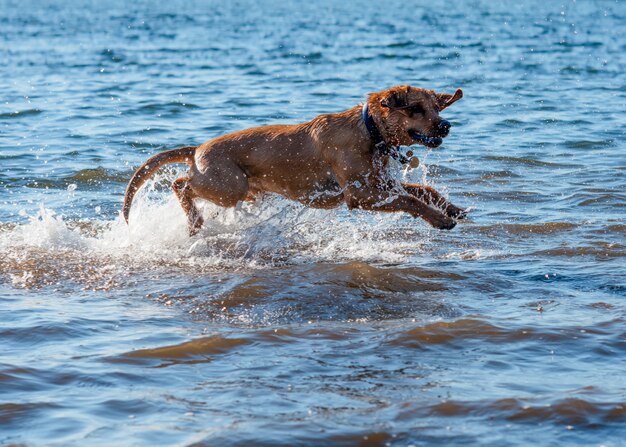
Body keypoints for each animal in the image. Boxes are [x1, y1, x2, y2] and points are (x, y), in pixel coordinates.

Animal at [122, 85, 464, 236]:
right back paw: (193, 219)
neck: (369, 131)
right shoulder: (360, 193)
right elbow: (411, 200)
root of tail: (196, 149)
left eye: (437, 108)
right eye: (416, 109)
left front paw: (451, 208)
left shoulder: (380, 183)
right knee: (180, 183)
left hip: (241, 190)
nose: (446, 126)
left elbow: (423, 191)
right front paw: (440, 219)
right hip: (228, 185)